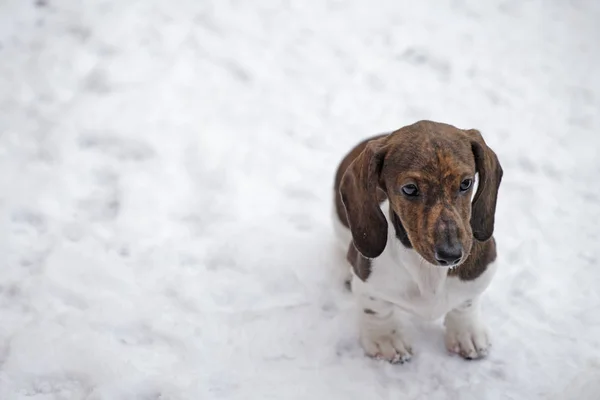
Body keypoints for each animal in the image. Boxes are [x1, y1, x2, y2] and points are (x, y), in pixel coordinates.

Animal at [332, 120, 502, 364]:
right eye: (410, 188)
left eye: (466, 183)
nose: (451, 255)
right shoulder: (369, 285)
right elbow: (377, 310)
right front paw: (386, 339)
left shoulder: (479, 275)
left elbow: (465, 303)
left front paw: (466, 333)